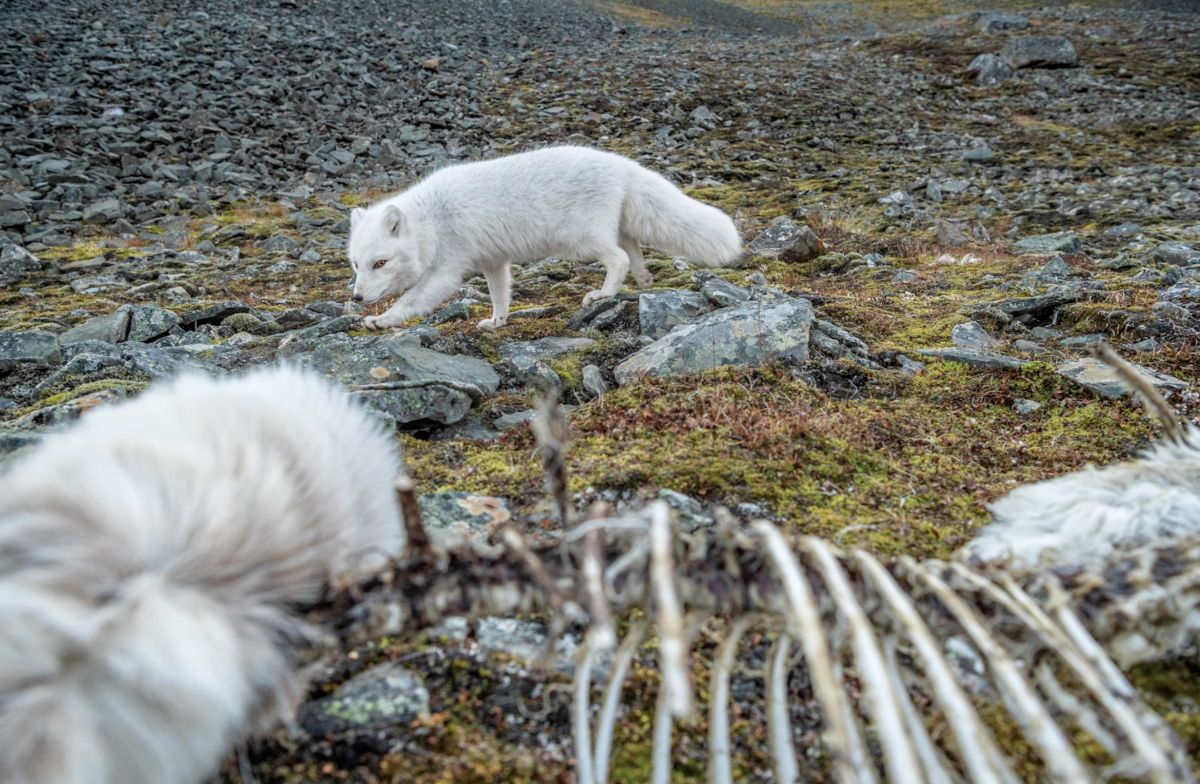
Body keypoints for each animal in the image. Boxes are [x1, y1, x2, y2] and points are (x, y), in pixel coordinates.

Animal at [347, 146, 743, 332]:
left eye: (380, 263)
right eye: (356, 265)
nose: (357, 298)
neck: (431, 221)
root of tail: (621, 163)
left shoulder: (447, 270)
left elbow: (413, 299)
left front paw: (382, 321)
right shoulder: (493, 262)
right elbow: (500, 295)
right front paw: (498, 322)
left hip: (581, 240)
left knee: (618, 257)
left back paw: (603, 294)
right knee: (631, 246)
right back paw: (645, 280)